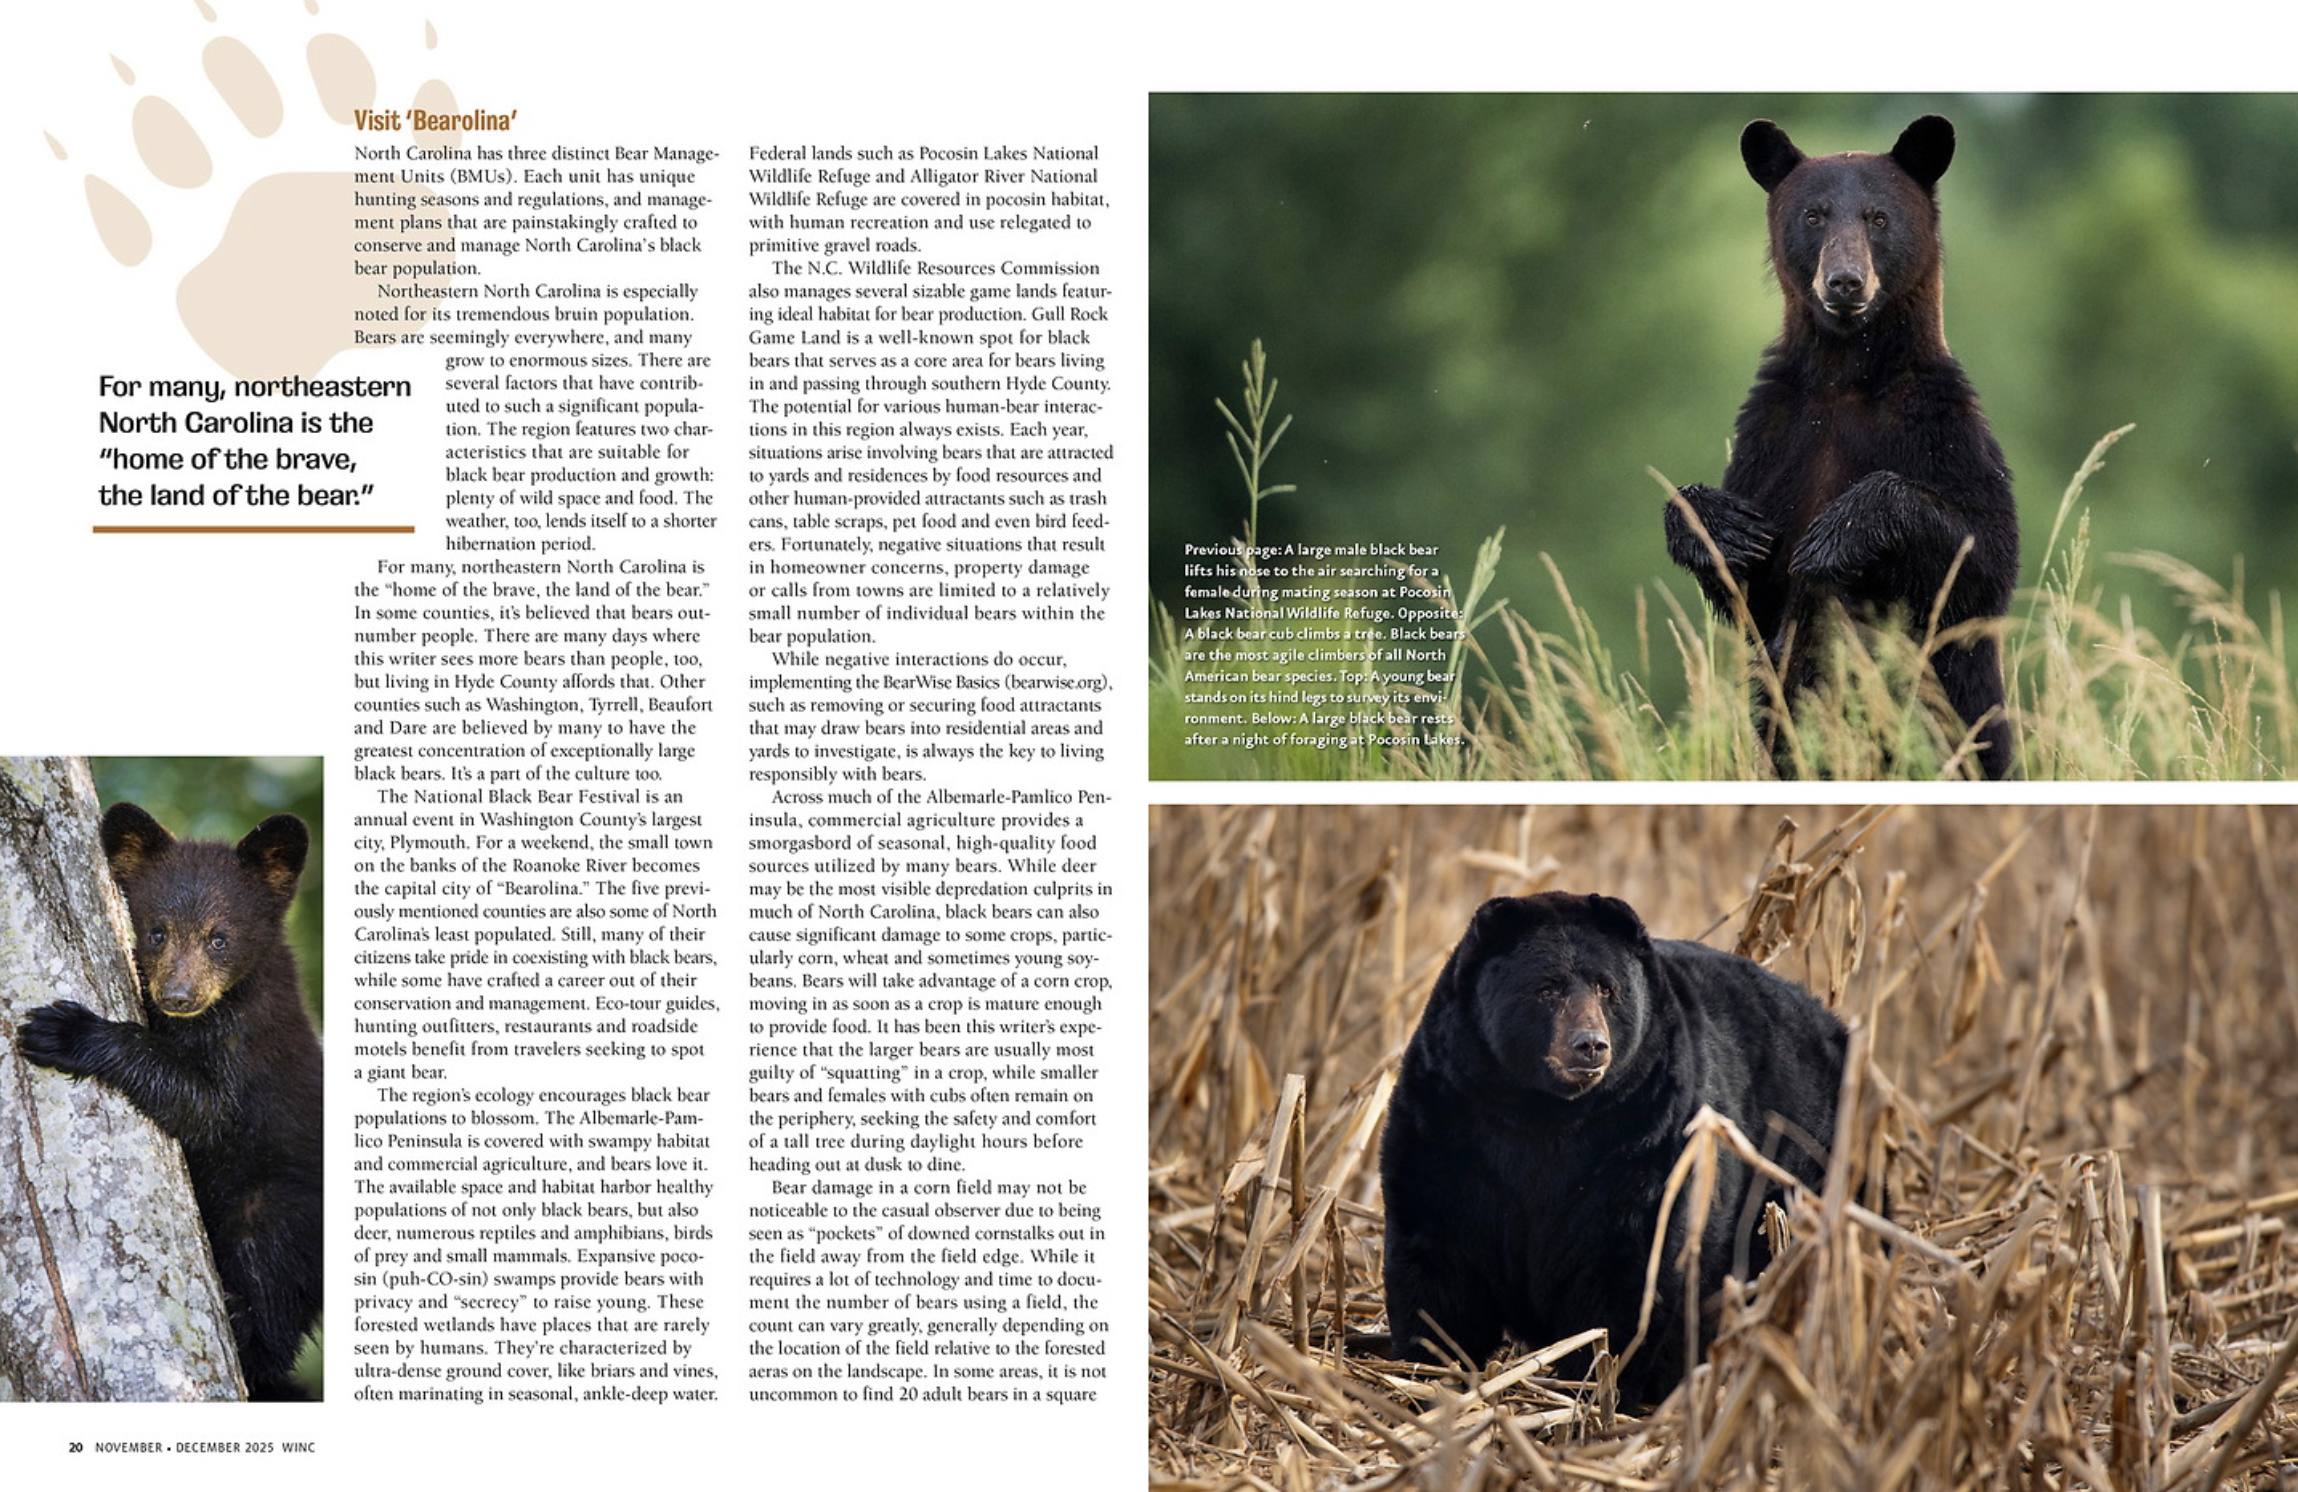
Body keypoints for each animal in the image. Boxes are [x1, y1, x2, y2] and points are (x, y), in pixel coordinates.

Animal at [17, 802, 324, 1401]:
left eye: (219, 938)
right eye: (156, 931)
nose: (178, 996)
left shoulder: (247, 1041)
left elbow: (205, 1105)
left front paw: (67, 1032)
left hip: (284, 1201)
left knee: (273, 1273)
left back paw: (244, 1328)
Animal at [1378, 891, 1847, 1407]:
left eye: (1607, 988)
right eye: (1547, 989)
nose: (1590, 1044)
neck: (1543, 1115)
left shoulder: (1646, 1137)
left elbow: (1631, 1265)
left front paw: (1603, 1379)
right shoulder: (1449, 1119)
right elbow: (1439, 1258)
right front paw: (1427, 1368)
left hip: (1808, 1155)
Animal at [1665, 114, 2019, 779]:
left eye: (1879, 217)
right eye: (1815, 214)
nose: (1845, 281)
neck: (1845, 375)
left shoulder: (1941, 428)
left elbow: (1980, 554)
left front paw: (1836, 534)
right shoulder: (1774, 433)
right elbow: (1749, 589)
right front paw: (1726, 526)